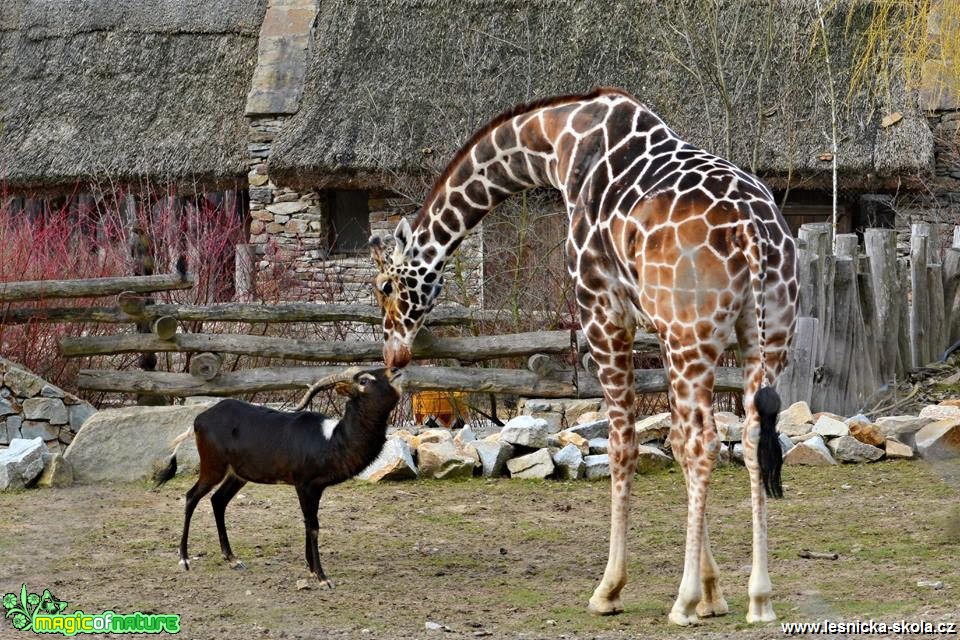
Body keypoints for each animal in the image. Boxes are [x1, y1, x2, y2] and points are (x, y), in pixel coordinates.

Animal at [372, 87, 800, 628]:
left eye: (386, 287)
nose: (393, 354)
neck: (556, 144)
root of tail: (753, 233)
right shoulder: (657, 327)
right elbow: (675, 444)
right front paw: (714, 593)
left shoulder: (604, 312)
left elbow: (625, 445)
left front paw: (611, 590)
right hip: (763, 337)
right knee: (748, 438)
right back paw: (759, 599)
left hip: (694, 334)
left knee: (706, 443)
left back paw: (681, 603)